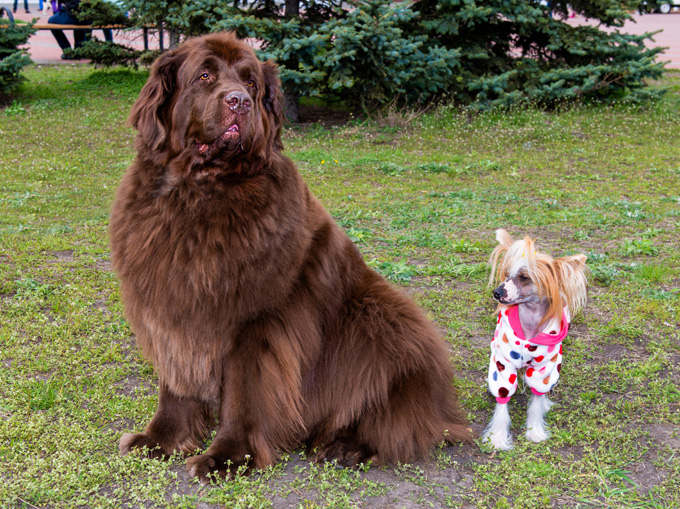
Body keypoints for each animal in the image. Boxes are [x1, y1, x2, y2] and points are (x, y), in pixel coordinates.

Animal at [110, 31, 472, 480]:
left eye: (250, 83)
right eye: (204, 75)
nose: (239, 102)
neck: (200, 191)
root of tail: (448, 406)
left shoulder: (258, 320)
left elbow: (245, 394)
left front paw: (227, 457)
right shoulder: (171, 305)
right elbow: (175, 384)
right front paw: (159, 441)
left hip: (381, 317)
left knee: (401, 421)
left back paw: (345, 446)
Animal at [480, 230, 588, 448]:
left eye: (524, 277)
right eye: (506, 274)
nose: (496, 292)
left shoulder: (545, 367)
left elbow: (537, 399)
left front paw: (534, 431)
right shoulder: (502, 364)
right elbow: (502, 399)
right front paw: (497, 438)